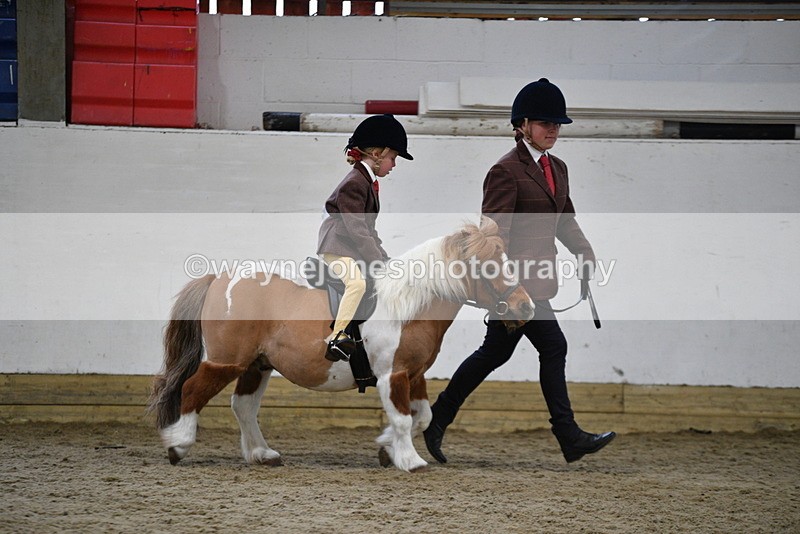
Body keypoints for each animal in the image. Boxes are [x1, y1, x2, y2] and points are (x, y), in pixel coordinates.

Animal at [148, 217, 535, 472]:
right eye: (489, 267)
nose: (525, 307)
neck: (409, 304)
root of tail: (219, 279)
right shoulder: (393, 375)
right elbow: (403, 419)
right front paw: (410, 460)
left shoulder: (415, 374)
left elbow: (421, 417)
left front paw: (387, 448)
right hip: (227, 361)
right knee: (192, 390)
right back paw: (178, 445)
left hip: (257, 364)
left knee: (243, 406)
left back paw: (261, 454)